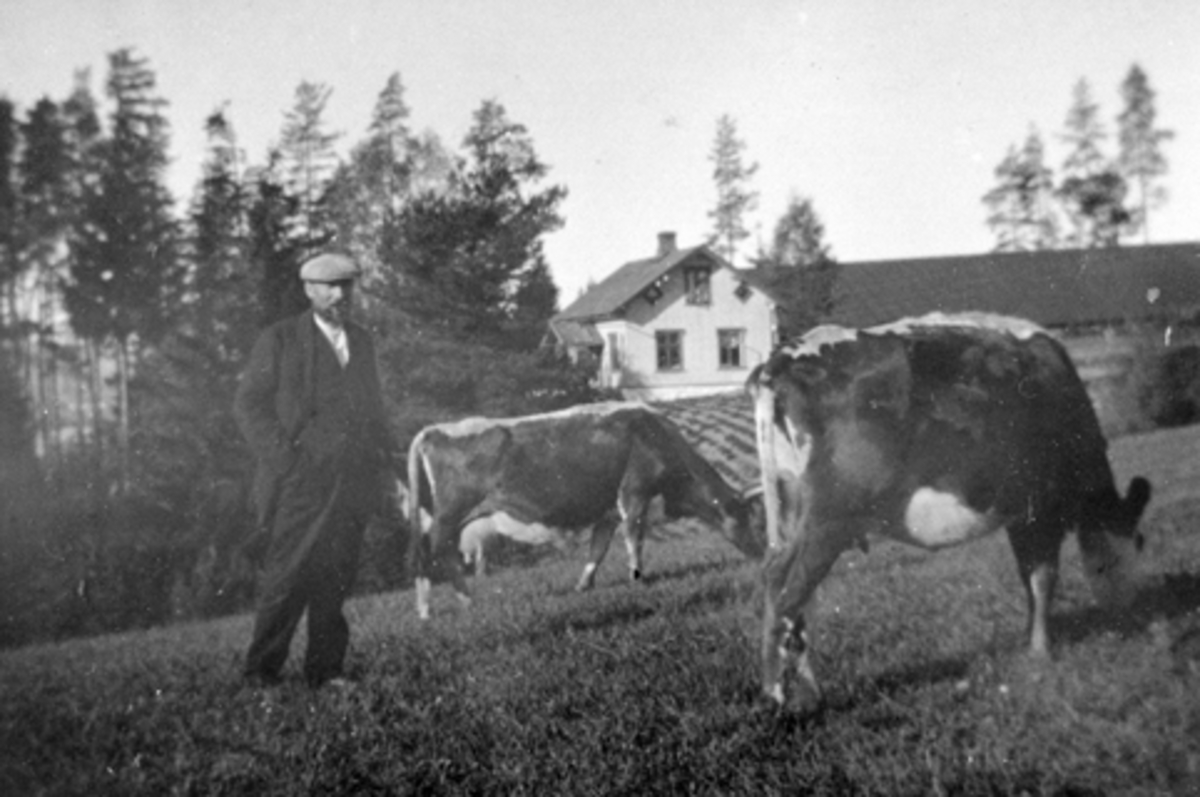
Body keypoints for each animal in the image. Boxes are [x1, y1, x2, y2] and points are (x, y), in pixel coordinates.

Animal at [403, 400, 758, 619]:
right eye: (750, 518)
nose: (762, 554)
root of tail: (434, 430)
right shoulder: (634, 494)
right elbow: (635, 539)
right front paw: (637, 578)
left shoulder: (608, 513)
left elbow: (597, 551)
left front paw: (583, 586)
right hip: (449, 515)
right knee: (433, 553)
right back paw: (443, 606)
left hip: (442, 517)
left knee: (434, 553)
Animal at [748, 312, 1152, 710]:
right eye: (1136, 543)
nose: (1130, 612)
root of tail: (783, 357)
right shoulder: (1042, 508)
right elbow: (1043, 577)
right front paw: (1042, 652)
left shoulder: (1019, 515)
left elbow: (1028, 576)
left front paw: (1031, 643)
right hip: (830, 519)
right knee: (789, 594)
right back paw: (775, 693)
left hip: (792, 508)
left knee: (779, 582)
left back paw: (808, 689)